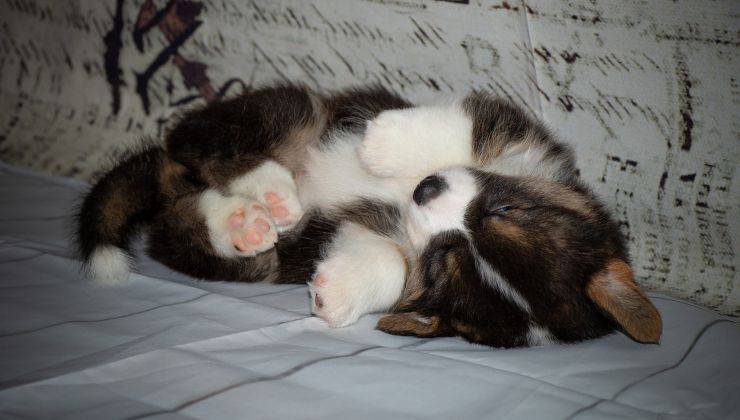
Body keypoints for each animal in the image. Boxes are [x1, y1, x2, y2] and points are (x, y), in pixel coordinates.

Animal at [76, 83, 664, 350]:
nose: (424, 190)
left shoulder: (370, 238)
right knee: (203, 146)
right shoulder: (509, 126)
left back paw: (249, 220)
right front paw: (383, 142)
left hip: (254, 258)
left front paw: (334, 296)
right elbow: (457, 137)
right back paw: (273, 187)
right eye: (503, 208)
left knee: (185, 219)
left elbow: (387, 265)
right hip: (285, 110)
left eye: (445, 260)